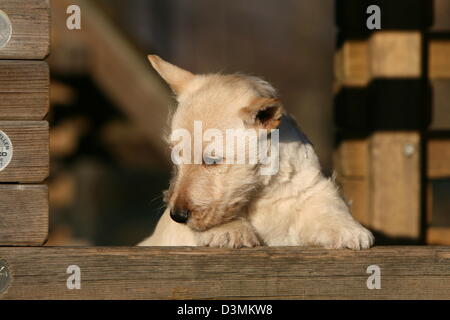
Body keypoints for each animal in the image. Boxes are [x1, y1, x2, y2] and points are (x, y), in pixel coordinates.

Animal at [139, 55, 374, 250]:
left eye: (211, 160)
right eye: (177, 155)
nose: (177, 216)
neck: (260, 192)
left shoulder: (310, 186)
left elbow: (328, 204)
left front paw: (350, 230)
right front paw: (229, 231)